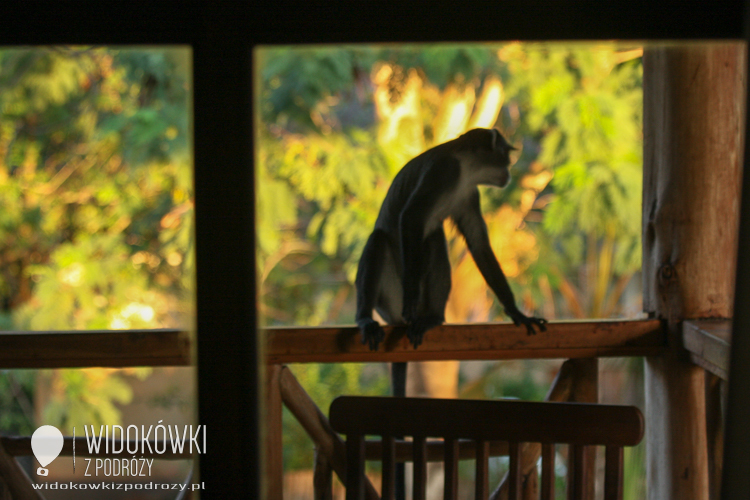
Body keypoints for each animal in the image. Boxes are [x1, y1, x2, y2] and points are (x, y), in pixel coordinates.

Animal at [356, 129, 548, 398]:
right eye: (505, 153)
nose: (510, 170)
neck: (464, 169)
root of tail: (391, 316)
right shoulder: (445, 171)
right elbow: (411, 217)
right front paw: (411, 296)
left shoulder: (468, 193)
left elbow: (478, 244)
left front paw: (516, 312)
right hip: (390, 296)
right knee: (379, 240)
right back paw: (366, 317)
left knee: (435, 237)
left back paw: (433, 318)